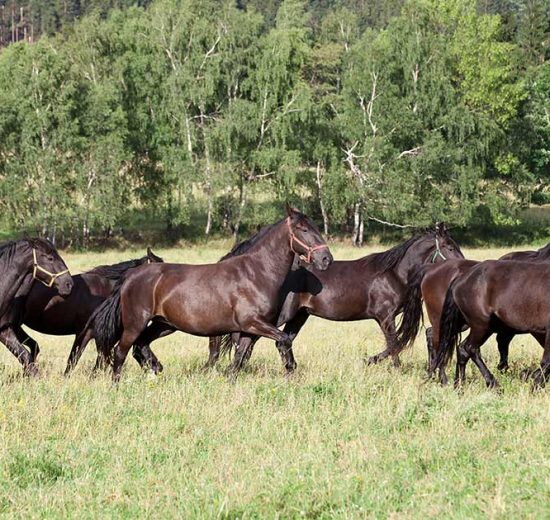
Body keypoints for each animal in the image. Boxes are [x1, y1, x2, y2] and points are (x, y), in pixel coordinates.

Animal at [84, 207, 334, 382]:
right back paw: (117, 386)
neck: (256, 274)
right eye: (303, 229)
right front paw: (291, 370)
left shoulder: (248, 330)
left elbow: (239, 360)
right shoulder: (253, 323)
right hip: (135, 323)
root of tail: (131, 276)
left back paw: (155, 368)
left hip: (164, 324)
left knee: (141, 345)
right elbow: (283, 340)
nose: (326, 259)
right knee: (120, 352)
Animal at [208, 221, 466, 372]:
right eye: (449, 247)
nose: (465, 264)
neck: (394, 274)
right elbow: (394, 345)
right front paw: (387, 367)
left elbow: (394, 345)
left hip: (299, 316)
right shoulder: (385, 316)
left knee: (280, 342)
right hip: (279, 315)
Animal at [396, 242, 550, 384]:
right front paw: (533, 380)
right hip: (472, 323)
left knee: (455, 346)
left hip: (468, 324)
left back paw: (456, 382)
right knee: (455, 346)